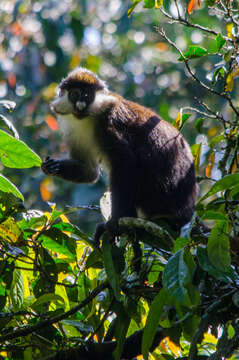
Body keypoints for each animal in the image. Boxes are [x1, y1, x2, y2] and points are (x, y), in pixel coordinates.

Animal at [41, 67, 197, 242]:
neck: (88, 119)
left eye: (87, 95)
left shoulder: (109, 124)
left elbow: (125, 162)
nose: (80, 106)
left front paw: (115, 222)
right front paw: (52, 166)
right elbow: (90, 172)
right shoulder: (73, 130)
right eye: (75, 94)